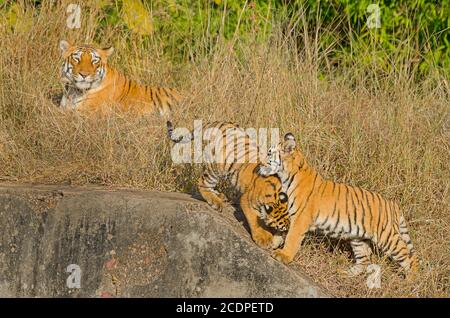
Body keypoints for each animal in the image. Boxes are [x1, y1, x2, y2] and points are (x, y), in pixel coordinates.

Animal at [167, 120, 290, 250]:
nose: (282, 241)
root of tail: (214, 122)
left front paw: (275, 241)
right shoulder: (247, 200)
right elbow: (256, 220)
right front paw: (264, 239)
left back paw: (220, 196)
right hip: (217, 166)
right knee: (202, 182)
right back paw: (216, 202)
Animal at [258, 132, 420, 278]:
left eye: (269, 153)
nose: (259, 164)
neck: (287, 177)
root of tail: (393, 204)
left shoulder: (300, 219)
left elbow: (291, 238)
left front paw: (283, 255)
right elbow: (281, 232)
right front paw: (272, 243)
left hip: (387, 237)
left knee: (410, 257)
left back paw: (410, 282)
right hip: (358, 238)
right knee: (364, 261)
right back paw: (344, 273)